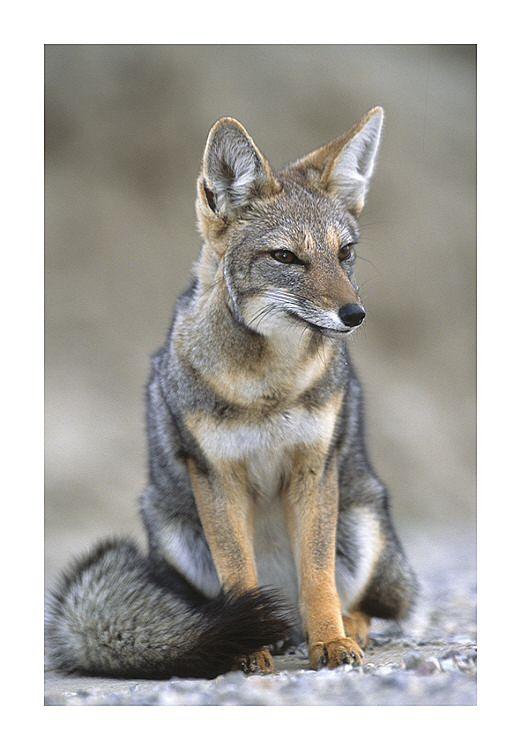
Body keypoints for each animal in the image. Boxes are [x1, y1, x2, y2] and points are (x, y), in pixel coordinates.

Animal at [46, 107, 416, 680]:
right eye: (286, 257)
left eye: (345, 253)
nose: (354, 315)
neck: (268, 390)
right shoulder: (215, 474)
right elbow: (239, 571)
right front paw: (246, 648)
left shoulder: (313, 468)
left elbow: (318, 576)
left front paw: (331, 642)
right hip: (176, 529)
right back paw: (265, 633)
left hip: (360, 523)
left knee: (361, 602)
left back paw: (340, 627)